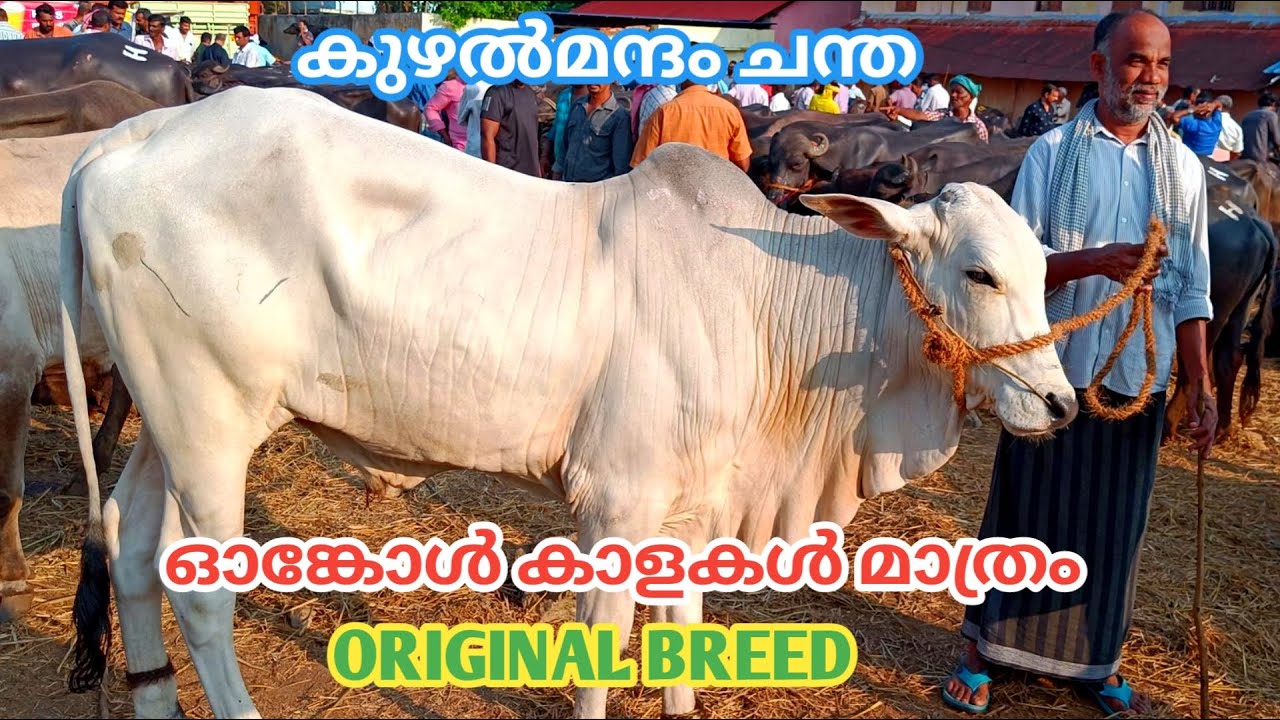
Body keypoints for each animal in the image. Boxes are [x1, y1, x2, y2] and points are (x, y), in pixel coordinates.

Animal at [56, 86, 1077, 719]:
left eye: (1042, 270)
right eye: (981, 274)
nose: (1063, 405)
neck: (762, 299)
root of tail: (128, 140)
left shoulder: (691, 507)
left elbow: (680, 633)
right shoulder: (616, 503)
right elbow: (604, 649)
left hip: (166, 423)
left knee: (132, 545)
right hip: (210, 425)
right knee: (200, 592)